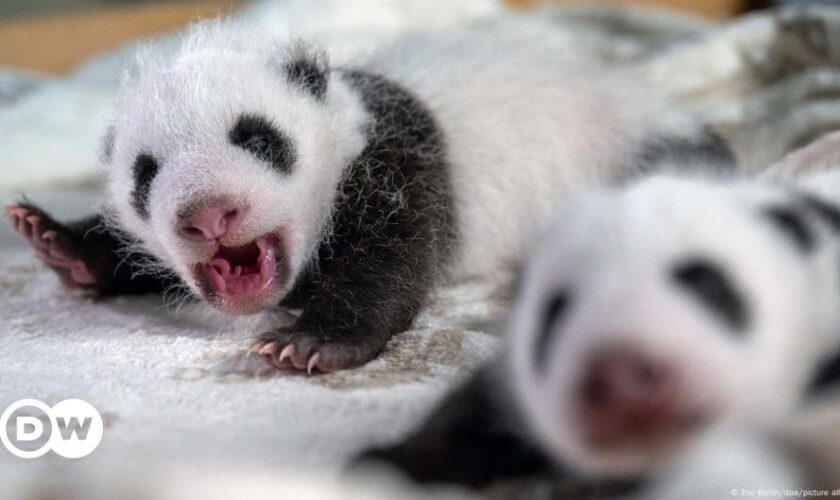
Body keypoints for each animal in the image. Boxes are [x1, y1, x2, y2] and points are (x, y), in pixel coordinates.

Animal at [3, 21, 732, 374]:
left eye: (258, 137)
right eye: (145, 173)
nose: (208, 216)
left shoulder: (396, 157)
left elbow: (393, 255)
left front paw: (312, 341)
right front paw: (59, 241)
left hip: (627, 147)